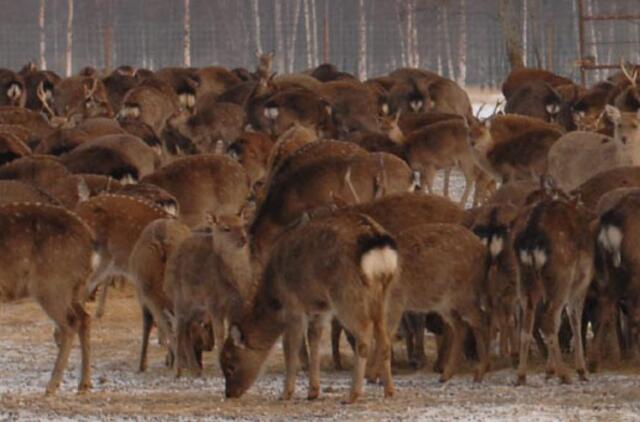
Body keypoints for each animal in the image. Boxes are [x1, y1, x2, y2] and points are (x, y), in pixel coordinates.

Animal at [0, 203, 99, 394]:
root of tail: (91, 243)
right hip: (75, 288)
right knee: (85, 318)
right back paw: (84, 384)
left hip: (51, 283)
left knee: (70, 322)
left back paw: (52, 385)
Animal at [222, 211, 398, 402]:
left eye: (230, 366)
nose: (229, 393)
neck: (274, 297)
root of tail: (378, 244)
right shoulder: (320, 309)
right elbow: (314, 342)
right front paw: (313, 392)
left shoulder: (293, 307)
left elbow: (290, 349)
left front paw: (286, 393)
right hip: (383, 295)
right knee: (384, 339)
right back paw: (389, 391)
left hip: (345, 294)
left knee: (364, 334)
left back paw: (352, 395)